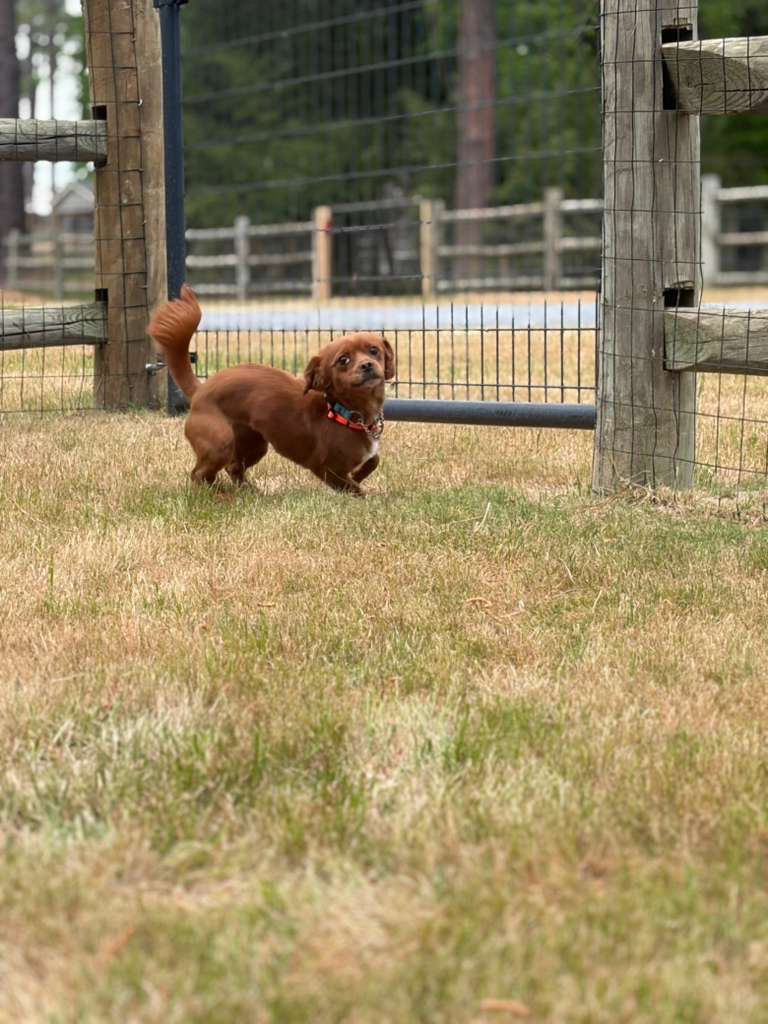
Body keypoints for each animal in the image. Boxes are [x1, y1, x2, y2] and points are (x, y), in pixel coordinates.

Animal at [148, 286, 394, 495]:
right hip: (220, 442)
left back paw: (248, 491)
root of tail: (201, 388)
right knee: (199, 475)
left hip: (254, 443)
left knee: (233, 467)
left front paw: (359, 473)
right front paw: (363, 493)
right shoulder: (326, 468)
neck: (345, 412)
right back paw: (219, 495)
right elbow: (351, 487)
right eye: (343, 360)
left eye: (374, 350)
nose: (367, 365)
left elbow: (373, 460)